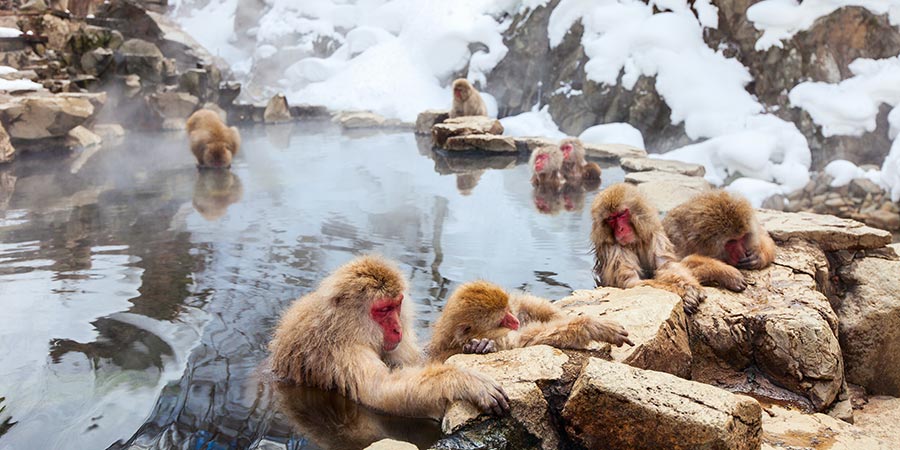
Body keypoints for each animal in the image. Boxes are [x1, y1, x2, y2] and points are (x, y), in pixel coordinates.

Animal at [268, 255, 509, 419]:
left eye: (396, 305)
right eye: (383, 310)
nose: (397, 328)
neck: (343, 326)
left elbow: (414, 362)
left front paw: (478, 346)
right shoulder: (344, 351)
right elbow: (380, 393)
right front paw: (464, 380)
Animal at [426, 281, 633, 362]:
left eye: (507, 311)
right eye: (502, 320)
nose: (514, 321)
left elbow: (525, 305)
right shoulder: (502, 339)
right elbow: (528, 341)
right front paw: (594, 326)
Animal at [591, 183, 706, 314]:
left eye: (621, 215)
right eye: (611, 219)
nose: (620, 229)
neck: (633, 243)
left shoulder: (654, 235)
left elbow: (667, 265)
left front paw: (691, 286)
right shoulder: (613, 249)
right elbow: (632, 283)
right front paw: (684, 294)